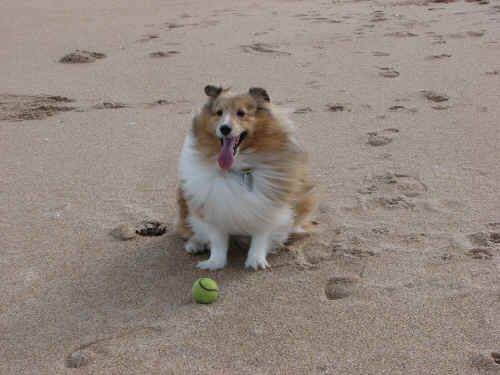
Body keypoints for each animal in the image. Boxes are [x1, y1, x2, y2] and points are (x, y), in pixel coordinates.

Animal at [177, 85, 316, 270]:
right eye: (219, 112)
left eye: (241, 113)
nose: (224, 128)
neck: (239, 169)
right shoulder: (213, 206)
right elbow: (217, 240)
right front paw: (214, 263)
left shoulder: (267, 207)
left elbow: (260, 236)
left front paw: (255, 261)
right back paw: (196, 244)